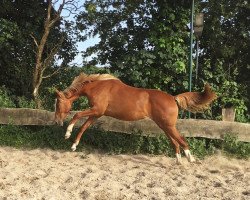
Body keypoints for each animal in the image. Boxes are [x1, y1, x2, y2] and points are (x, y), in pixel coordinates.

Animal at [54, 72, 217, 163]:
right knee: (175, 142)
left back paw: (191, 159)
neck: (98, 87)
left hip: (168, 126)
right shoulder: (96, 114)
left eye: (58, 104)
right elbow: (83, 127)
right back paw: (178, 161)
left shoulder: (96, 110)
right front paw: (74, 145)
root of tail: (173, 98)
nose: (56, 121)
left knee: (182, 140)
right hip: (164, 126)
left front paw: (67, 134)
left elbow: (76, 115)